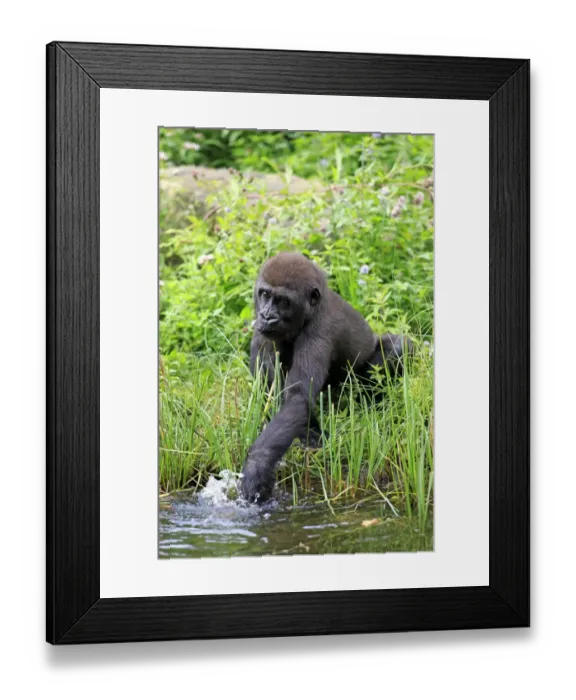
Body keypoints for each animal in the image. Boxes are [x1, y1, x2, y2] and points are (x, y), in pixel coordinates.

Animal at [240, 252, 413, 504]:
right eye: (264, 294)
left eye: (283, 301)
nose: (266, 315)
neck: (311, 311)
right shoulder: (262, 331)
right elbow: (271, 389)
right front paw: (308, 435)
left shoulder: (318, 333)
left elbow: (297, 397)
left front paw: (257, 464)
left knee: (399, 348)